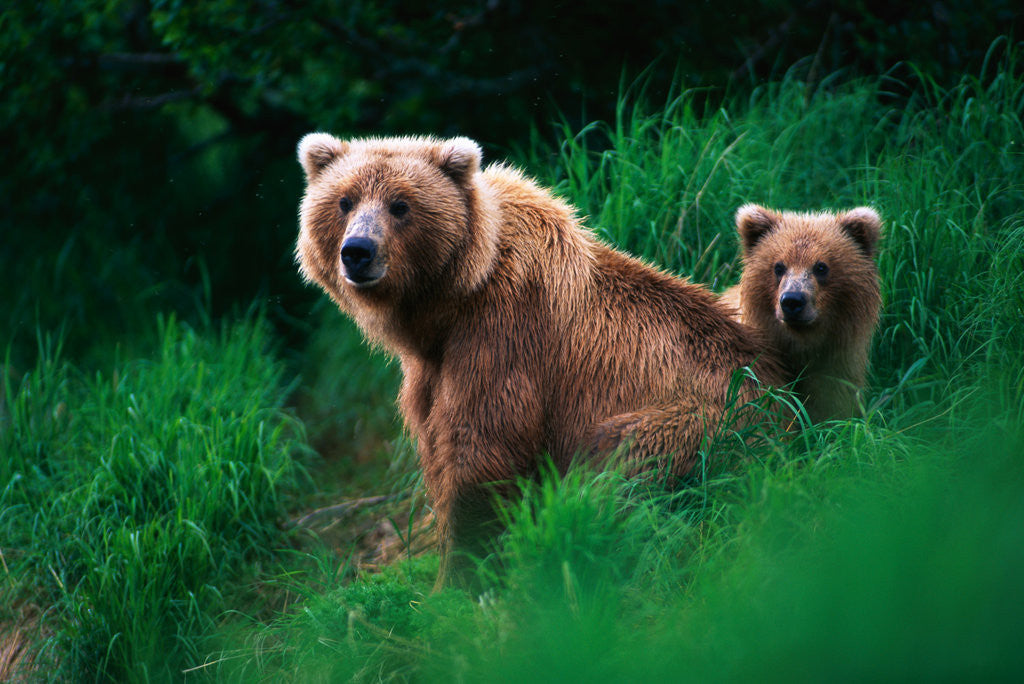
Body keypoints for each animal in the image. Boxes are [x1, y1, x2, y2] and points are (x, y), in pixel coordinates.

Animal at [295, 134, 785, 586]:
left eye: (401, 205)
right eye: (344, 201)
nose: (358, 251)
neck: (450, 300)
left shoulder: (505, 331)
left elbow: (482, 448)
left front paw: (456, 578)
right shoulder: (430, 370)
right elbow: (437, 445)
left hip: (713, 421)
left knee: (620, 458)